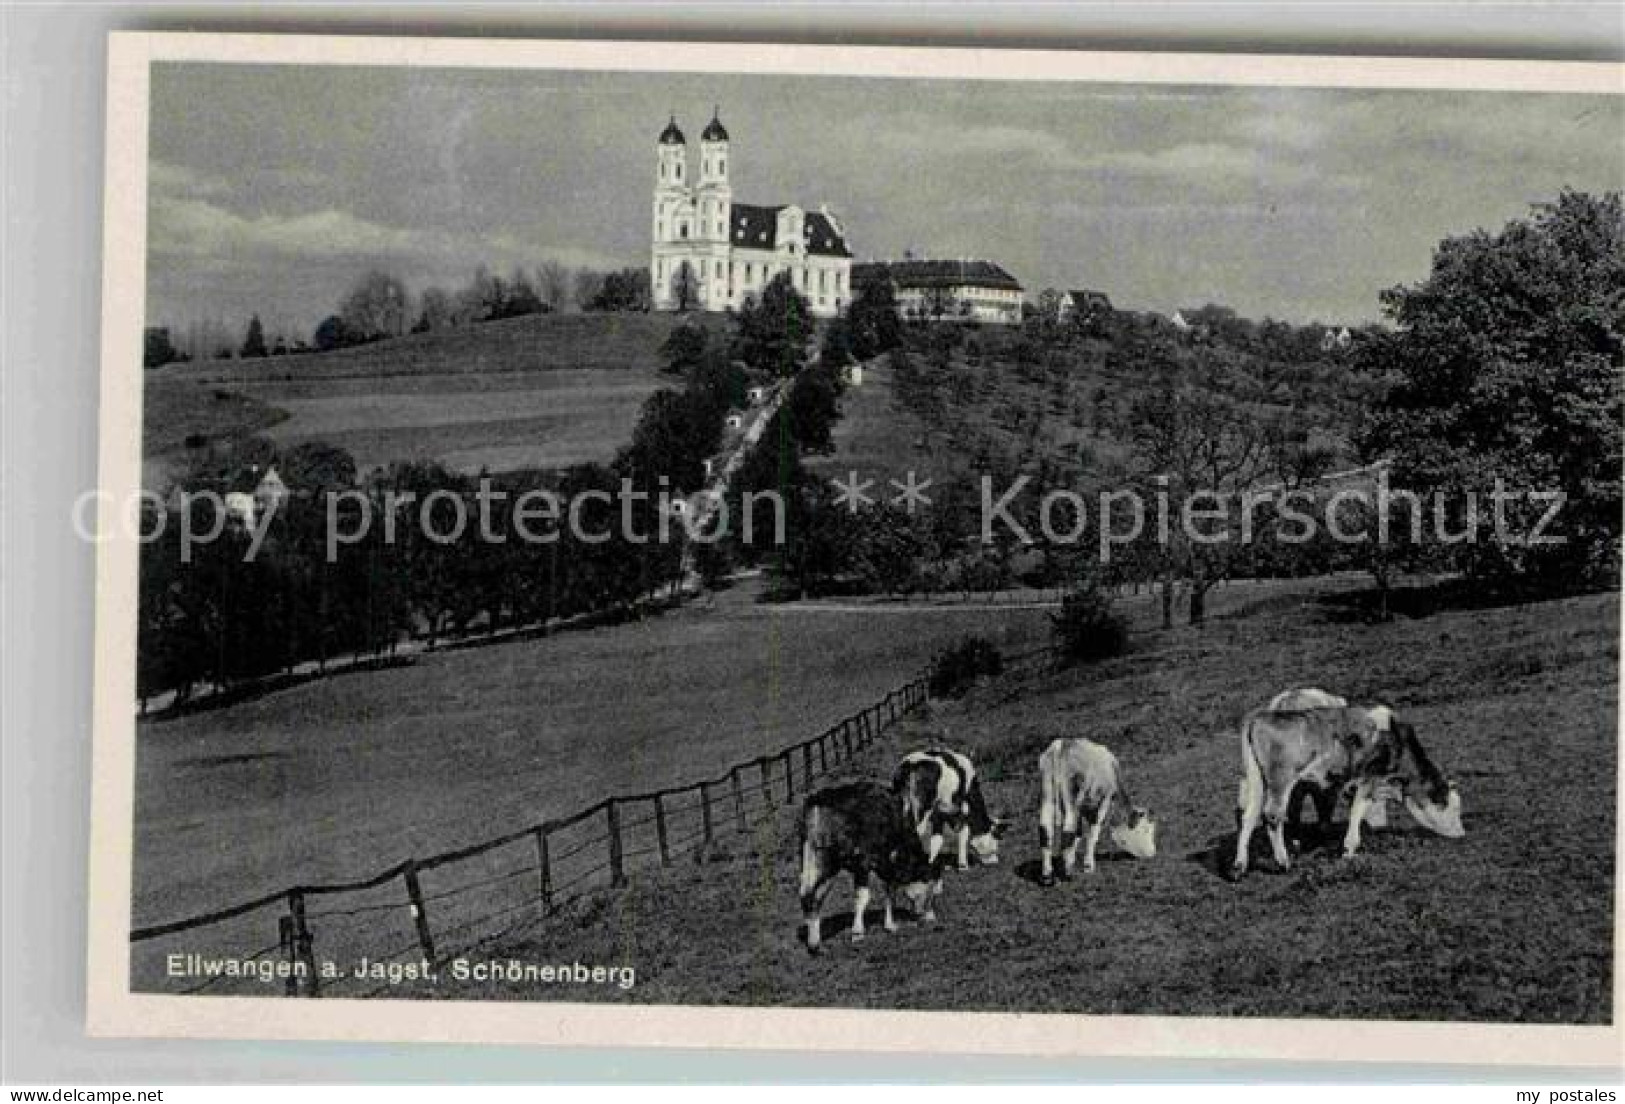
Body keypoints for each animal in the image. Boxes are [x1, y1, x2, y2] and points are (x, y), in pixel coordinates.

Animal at [799, 780, 942, 956]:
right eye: (932, 888)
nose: (931, 917)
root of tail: (816, 801)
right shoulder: (866, 862)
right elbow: (865, 895)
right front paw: (858, 932)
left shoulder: (883, 862)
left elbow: (889, 889)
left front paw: (889, 924)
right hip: (828, 859)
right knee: (813, 893)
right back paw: (815, 943)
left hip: (810, 854)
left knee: (810, 894)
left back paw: (813, 940)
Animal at [1040, 738, 1157, 884]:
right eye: (1146, 829)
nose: (1152, 853)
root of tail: (1062, 745)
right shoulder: (1103, 801)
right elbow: (1092, 834)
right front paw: (1088, 865)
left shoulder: (1083, 807)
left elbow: (1078, 834)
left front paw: (1066, 859)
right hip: (1070, 794)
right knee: (1068, 828)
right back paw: (1067, 874)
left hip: (1047, 792)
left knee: (1045, 830)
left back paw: (1047, 875)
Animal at [1228, 699, 1475, 877]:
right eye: (1451, 807)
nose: (1461, 834)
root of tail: (1261, 716)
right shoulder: (1368, 779)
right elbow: (1357, 811)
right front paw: (1349, 850)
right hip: (1281, 779)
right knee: (1272, 815)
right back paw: (1283, 862)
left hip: (1256, 779)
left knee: (1249, 816)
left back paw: (1239, 866)